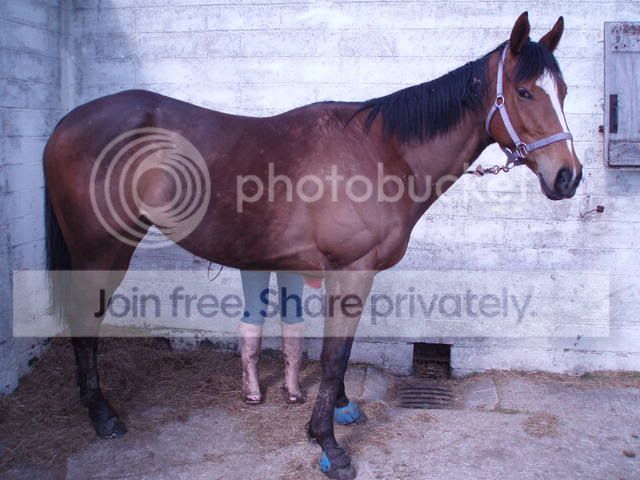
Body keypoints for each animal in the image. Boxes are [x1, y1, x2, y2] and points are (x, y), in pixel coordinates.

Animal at [43, 12, 581, 480]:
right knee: (85, 321)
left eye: (563, 91)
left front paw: (340, 407)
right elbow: (333, 355)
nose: (568, 176)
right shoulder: (352, 270)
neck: (383, 153)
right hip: (101, 251)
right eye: (524, 91)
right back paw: (103, 416)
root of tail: (66, 125)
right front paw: (328, 446)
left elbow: (335, 350)